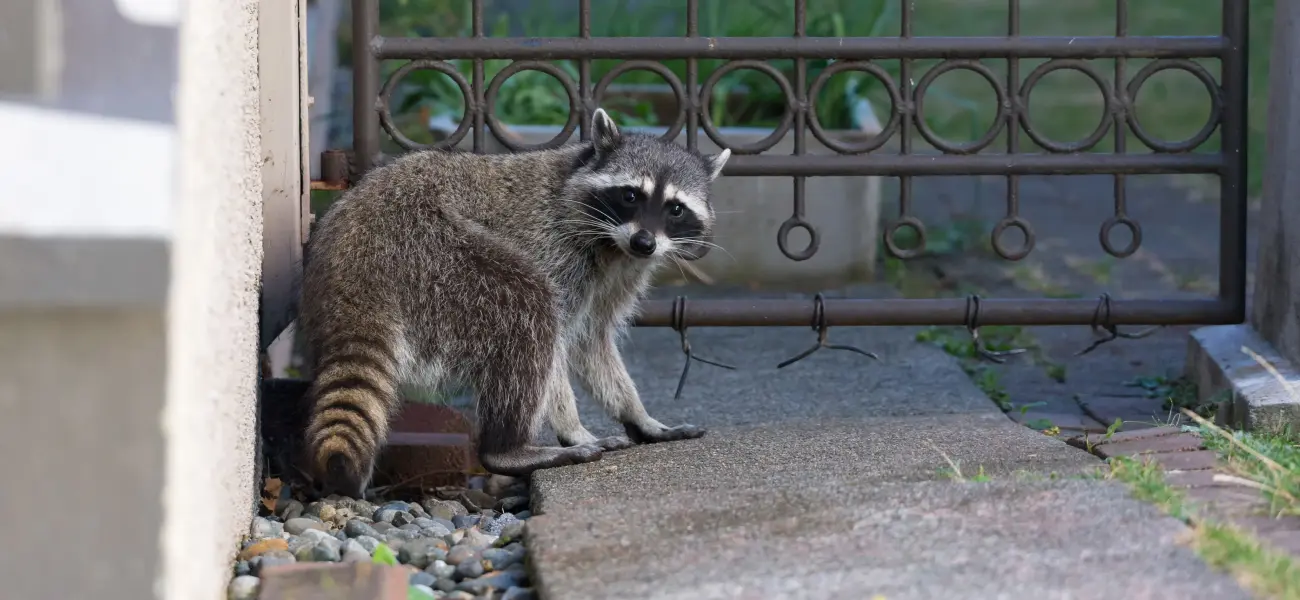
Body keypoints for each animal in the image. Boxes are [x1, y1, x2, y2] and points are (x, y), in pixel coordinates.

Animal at [296, 108, 731, 496]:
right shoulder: (555, 248)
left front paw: (639, 415)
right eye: (629, 195)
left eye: (675, 208)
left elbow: (593, 343)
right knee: (528, 308)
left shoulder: (618, 276)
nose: (645, 242)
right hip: (434, 253)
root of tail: (355, 260)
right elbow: (558, 346)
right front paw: (573, 428)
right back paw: (508, 448)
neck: (611, 243)